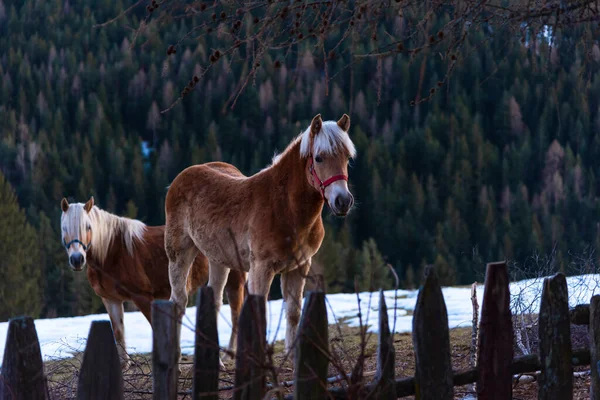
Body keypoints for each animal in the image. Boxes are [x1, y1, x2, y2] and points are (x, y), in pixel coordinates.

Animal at [59, 197, 247, 366]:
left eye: (88, 226)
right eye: (64, 228)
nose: (77, 259)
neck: (112, 252)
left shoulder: (142, 297)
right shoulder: (111, 299)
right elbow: (118, 331)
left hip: (235, 281)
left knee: (236, 314)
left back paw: (228, 356)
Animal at [164, 113, 356, 360]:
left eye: (347, 157)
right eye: (319, 158)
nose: (343, 201)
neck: (285, 208)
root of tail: (181, 177)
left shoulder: (299, 267)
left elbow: (293, 313)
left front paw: (292, 360)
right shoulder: (261, 268)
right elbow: (259, 314)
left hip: (219, 260)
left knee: (213, 301)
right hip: (179, 253)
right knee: (178, 301)